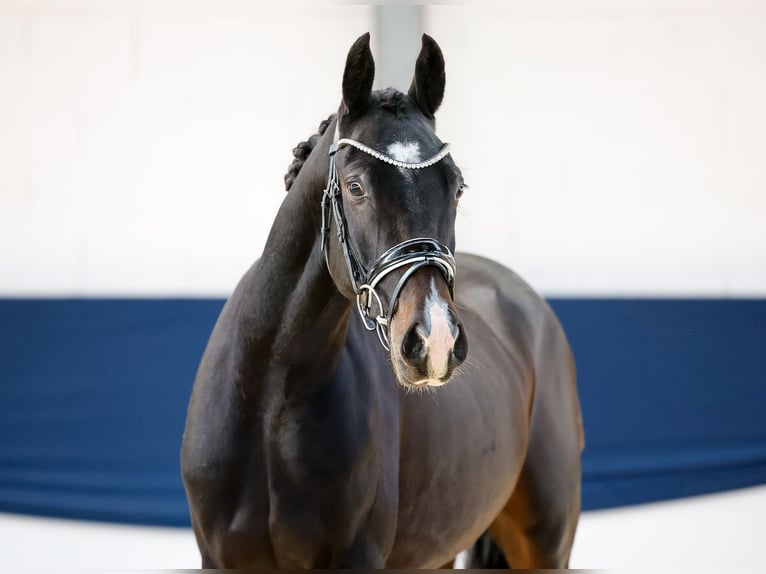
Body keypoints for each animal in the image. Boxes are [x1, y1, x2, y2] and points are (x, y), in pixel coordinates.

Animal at [180, 33, 584, 568]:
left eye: (457, 186)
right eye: (355, 187)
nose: (435, 340)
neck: (271, 397)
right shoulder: (219, 558)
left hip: (546, 541)